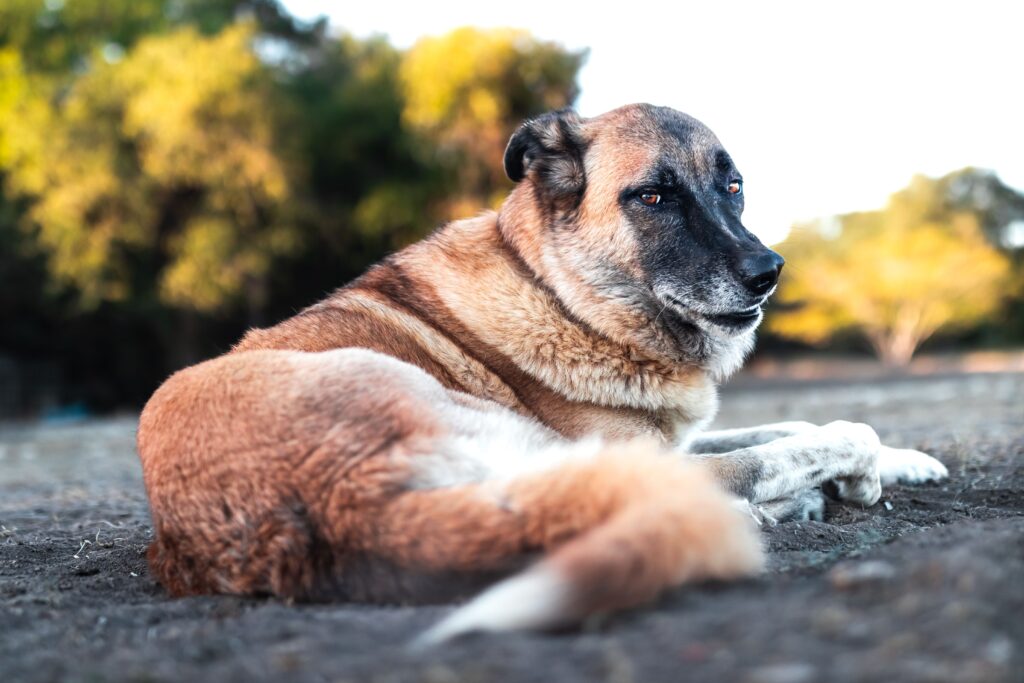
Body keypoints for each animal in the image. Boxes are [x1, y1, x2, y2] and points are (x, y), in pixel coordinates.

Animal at [134, 104, 942, 643]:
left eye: (733, 186)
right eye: (653, 196)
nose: (769, 273)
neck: (564, 295)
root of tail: (335, 508)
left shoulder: (666, 437)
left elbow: (796, 420)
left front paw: (912, 459)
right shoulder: (643, 449)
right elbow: (824, 433)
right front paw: (861, 473)